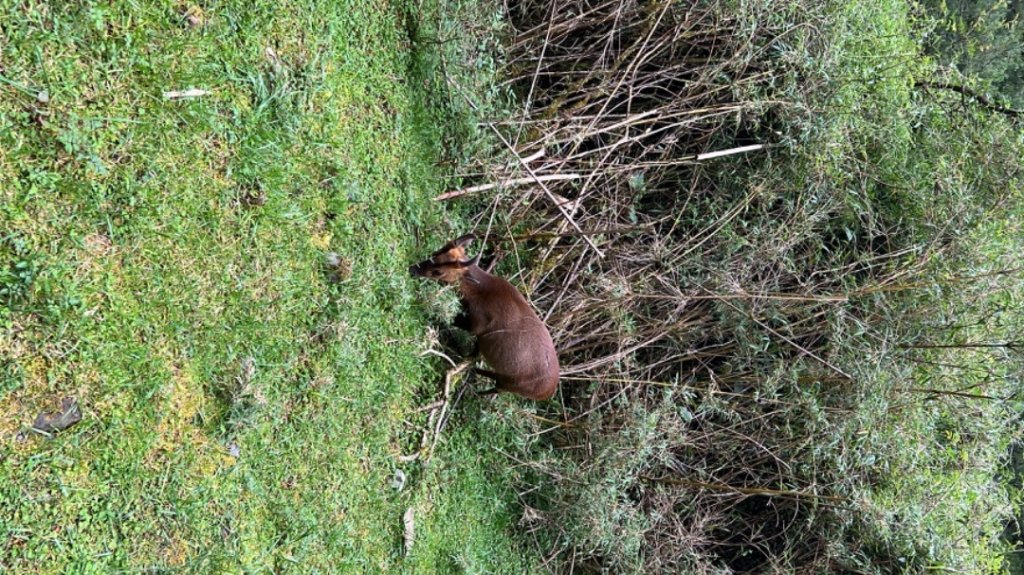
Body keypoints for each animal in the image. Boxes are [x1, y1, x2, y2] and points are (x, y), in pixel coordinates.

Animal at [409, 233, 561, 399]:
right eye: (435, 253)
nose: (412, 269)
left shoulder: (477, 324)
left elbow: (454, 321)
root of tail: (548, 392)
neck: (480, 293)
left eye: (438, 272)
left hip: (513, 384)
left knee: (497, 386)